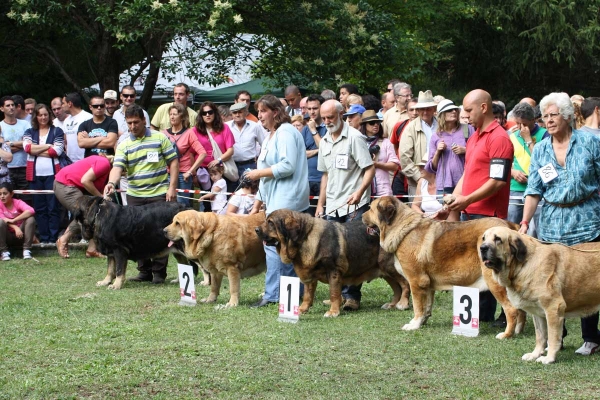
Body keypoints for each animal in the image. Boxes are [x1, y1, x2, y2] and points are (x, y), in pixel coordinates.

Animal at [255, 209, 410, 318]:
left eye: (270, 222)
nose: (256, 229)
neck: (304, 238)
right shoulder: (310, 277)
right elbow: (308, 295)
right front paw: (301, 309)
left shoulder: (334, 272)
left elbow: (334, 293)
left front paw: (333, 311)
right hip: (385, 272)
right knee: (397, 288)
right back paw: (392, 304)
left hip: (389, 267)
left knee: (404, 284)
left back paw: (403, 303)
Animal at [360, 196, 524, 338]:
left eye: (371, 209)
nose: (361, 216)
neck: (401, 227)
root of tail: (511, 227)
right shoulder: (427, 284)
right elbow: (426, 306)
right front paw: (422, 322)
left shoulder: (416, 281)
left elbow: (418, 306)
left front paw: (413, 325)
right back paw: (518, 331)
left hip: (495, 282)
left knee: (512, 310)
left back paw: (506, 335)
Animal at [480, 227, 600, 364]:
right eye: (483, 238)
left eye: (498, 239)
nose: (482, 248)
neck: (523, 264)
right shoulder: (537, 312)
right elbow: (540, 336)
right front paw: (535, 354)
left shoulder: (553, 308)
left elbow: (552, 337)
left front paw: (549, 358)